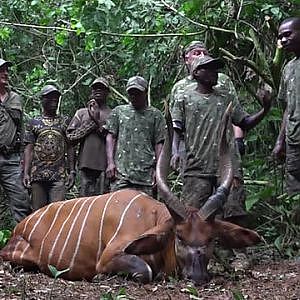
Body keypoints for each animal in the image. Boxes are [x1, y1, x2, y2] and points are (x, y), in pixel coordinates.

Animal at [0, 104, 260, 284]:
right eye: (179, 236)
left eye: (211, 239)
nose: (197, 277)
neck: (152, 218)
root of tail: (20, 226)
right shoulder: (109, 256)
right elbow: (144, 271)